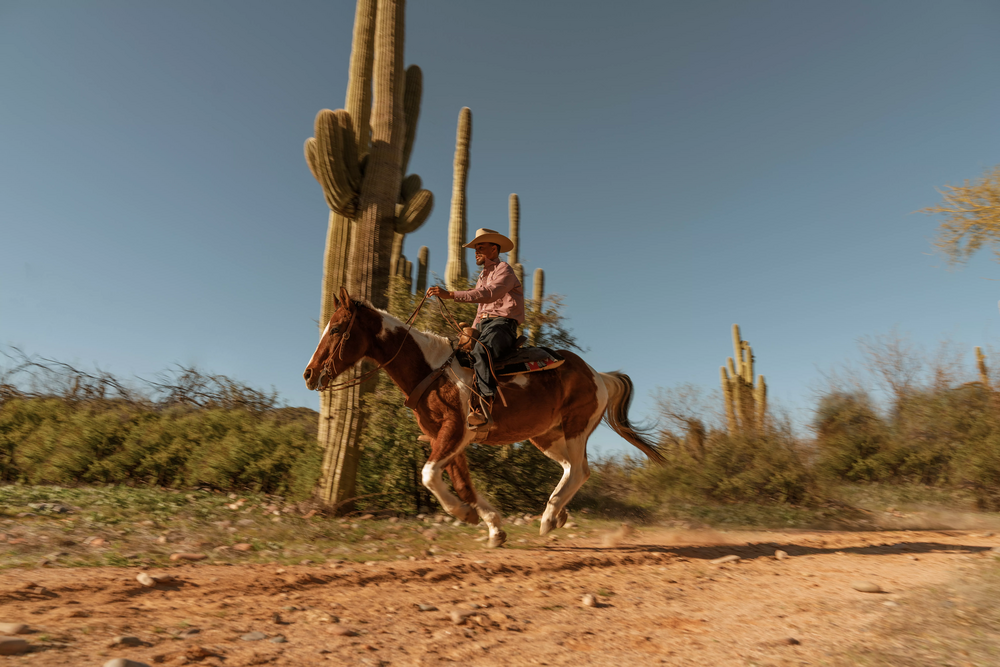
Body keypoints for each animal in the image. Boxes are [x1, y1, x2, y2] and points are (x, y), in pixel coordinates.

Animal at [304, 288, 664, 548]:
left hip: (576, 427)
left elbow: (429, 475)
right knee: (571, 468)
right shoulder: (443, 436)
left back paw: (549, 518)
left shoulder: (456, 430)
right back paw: (559, 513)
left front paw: (465, 515)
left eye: (337, 328)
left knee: (579, 469)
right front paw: (492, 527)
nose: (309, 375)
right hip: (545, 435)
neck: (432, 370)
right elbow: (463, 483)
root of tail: (598, 375)